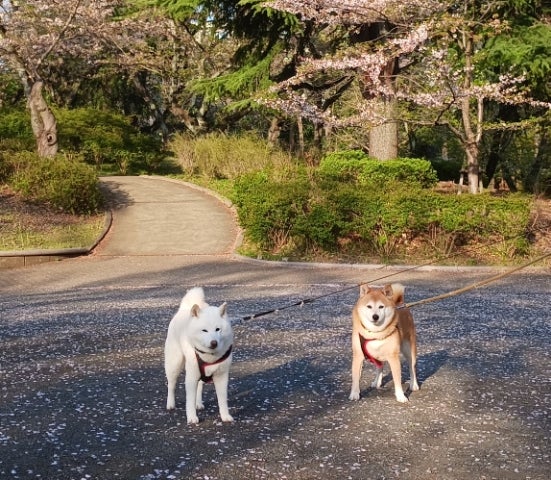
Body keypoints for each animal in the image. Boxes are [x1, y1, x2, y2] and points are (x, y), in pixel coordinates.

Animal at [164, 286, 233, 422]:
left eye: (218, 329)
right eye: (204, 330)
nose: (214, 342)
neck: (209, 356)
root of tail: (184, 309)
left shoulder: (221, 376)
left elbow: (222, 400)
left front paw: (225, 416)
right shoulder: (191, 377)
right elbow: (189, 401)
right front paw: (191, 418)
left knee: (200, 386)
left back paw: (199, 403)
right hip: (174, 364)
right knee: (171, 385)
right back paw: (170, 404)